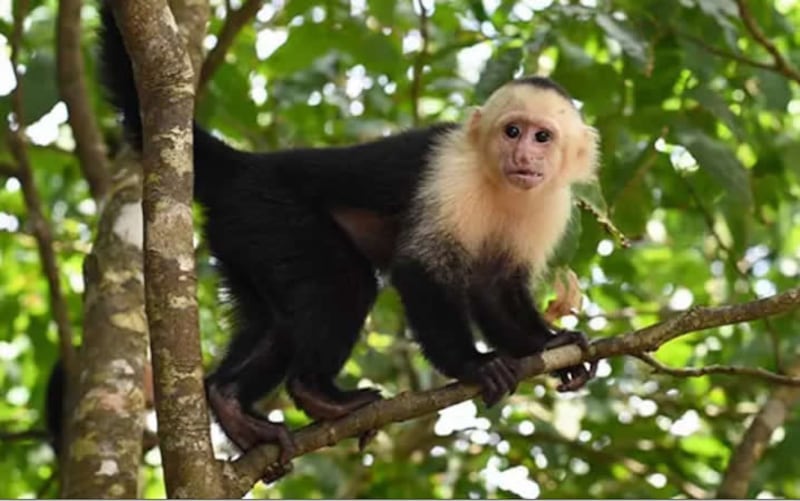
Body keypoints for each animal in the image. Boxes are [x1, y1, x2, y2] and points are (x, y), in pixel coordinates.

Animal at [98, 1, 600, 482]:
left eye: (542, 136)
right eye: (512, 131)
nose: (523, 155)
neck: (500, 186)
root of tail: (251, 166)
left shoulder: (550, 205)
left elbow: (494, 289)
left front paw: (550, 343)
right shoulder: (452, 175)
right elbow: (419, 267)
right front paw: (473, 365)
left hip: (240, 238)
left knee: (277, 321)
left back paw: (231, 402)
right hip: (269, 213)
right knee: (344, 284)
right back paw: (317, 393)